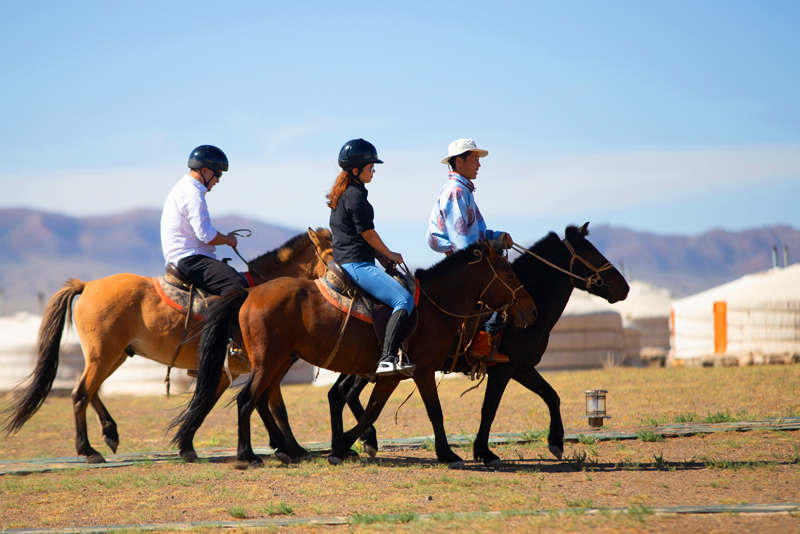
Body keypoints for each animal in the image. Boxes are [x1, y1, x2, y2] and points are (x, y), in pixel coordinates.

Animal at [1, 227, 332, 464]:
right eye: (332, 254)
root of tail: (87, 285)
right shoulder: (244, 368)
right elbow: (217, 405)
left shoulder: (258, 366)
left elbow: (268, 406)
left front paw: (289, 447)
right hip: (102, 355)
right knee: (81, 393)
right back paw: (89, 450)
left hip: (114, 356)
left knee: (91, 391)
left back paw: (110, 433)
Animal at [172, 242, 540, 468]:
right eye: (510, 274)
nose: (532, 310)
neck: (434, 307)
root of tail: (249, 292)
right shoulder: (422, 371)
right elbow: (433, 412)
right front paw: (448, 454)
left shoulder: (393, 375)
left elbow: (370, 412)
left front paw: (341, 448)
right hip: (269, 362)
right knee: (247, 400)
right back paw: (248, 455)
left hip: (279, 362)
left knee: (263, 400)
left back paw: (288, 450)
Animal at [324, 222, 632, 464]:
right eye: (592, 253)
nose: (625, 287)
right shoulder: (504, 369)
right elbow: (490, 408)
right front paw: (484, 451)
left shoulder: (522, 368)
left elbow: (551, 395)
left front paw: (556, 442)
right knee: (347, 392)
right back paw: (363, 441)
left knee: (338, 393)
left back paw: (351, 444)